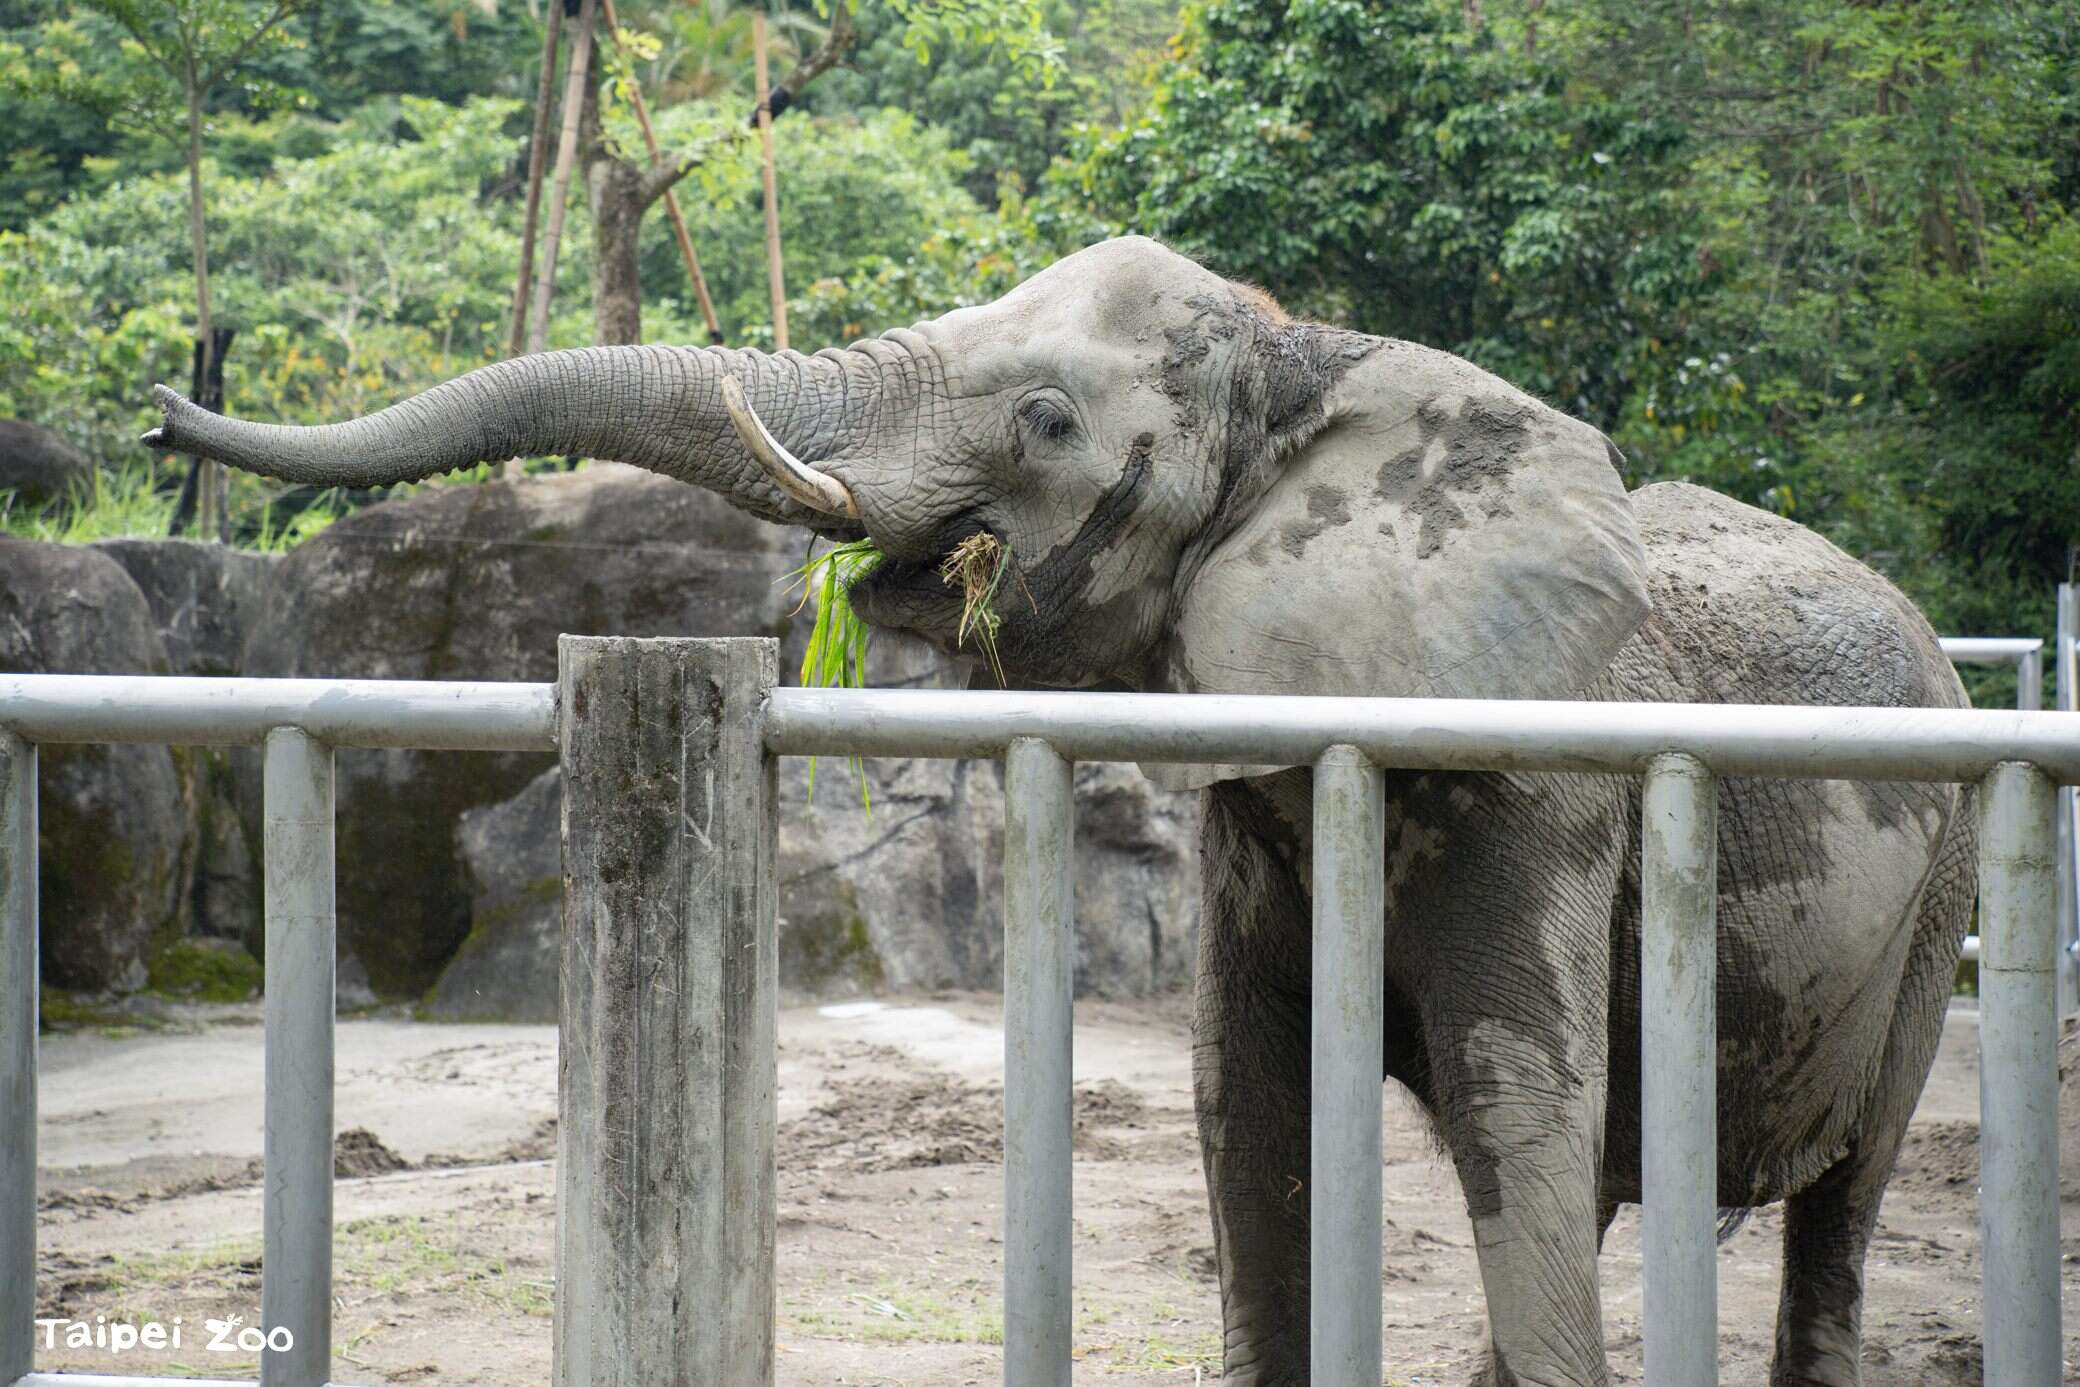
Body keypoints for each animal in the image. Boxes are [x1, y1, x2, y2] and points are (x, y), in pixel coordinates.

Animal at [149, 235, 1974, 1386]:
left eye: (1044, 419)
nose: (167, 402)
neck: (1308, 355)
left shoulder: (1543, 783)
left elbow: (1511, 1091)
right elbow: (1247, 1099)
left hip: (1941, 879)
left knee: (1836, 1193)